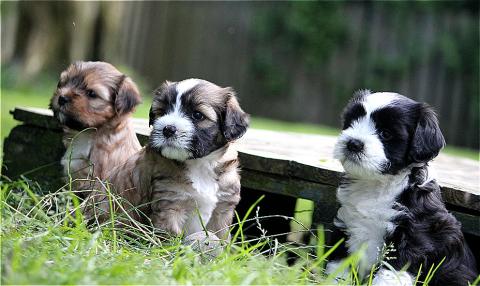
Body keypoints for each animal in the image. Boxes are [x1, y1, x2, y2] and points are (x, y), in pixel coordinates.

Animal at [84, 78, 248, 239]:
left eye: (197, 115)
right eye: (162, 112)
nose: (168, 129)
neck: (200, 164)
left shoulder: (221, 210)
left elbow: (221, 238)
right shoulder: (170, 206)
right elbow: (170, 238)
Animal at [326, 91, 476, 286]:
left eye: (386, 134)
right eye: (351, 123)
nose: (353, 143)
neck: (377, 184)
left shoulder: (414, 234)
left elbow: (393, 270)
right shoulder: (347, 222)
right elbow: (340, 260)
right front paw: (333, 281)